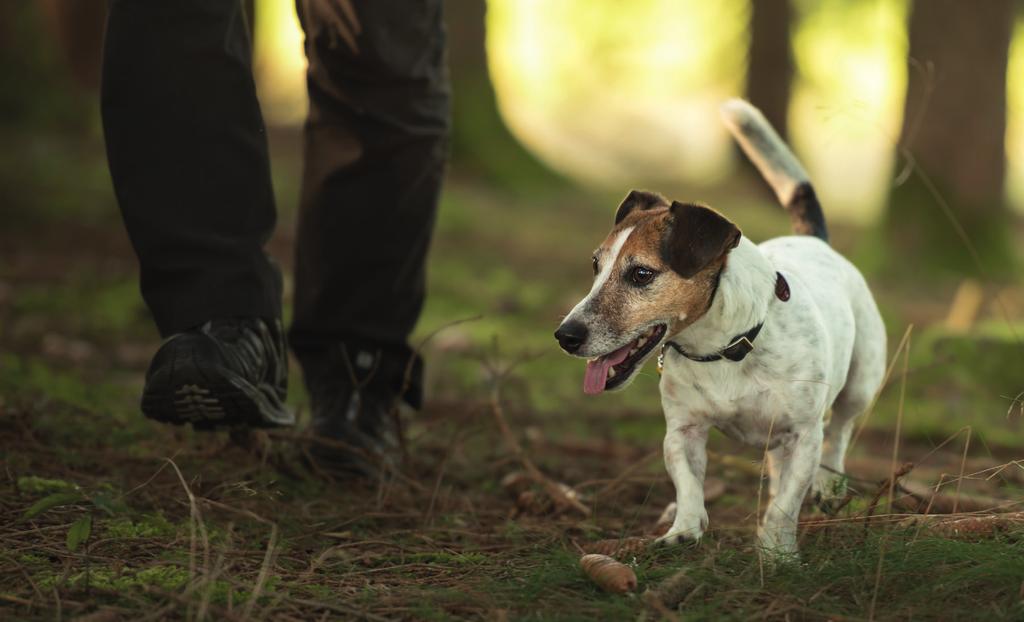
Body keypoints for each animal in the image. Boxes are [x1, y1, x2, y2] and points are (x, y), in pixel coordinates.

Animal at [557, 99, 884, 557]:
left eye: (640, 274)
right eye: (595, 266)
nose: (565, 336)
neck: (723, 347)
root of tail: (815, 241)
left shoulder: (803, 434)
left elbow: (787, 503)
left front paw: (778, 553)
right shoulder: (683, 431)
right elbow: (689, 483)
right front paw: (684, 528)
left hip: (862, 381)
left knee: (840, 430)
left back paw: (828, 484)